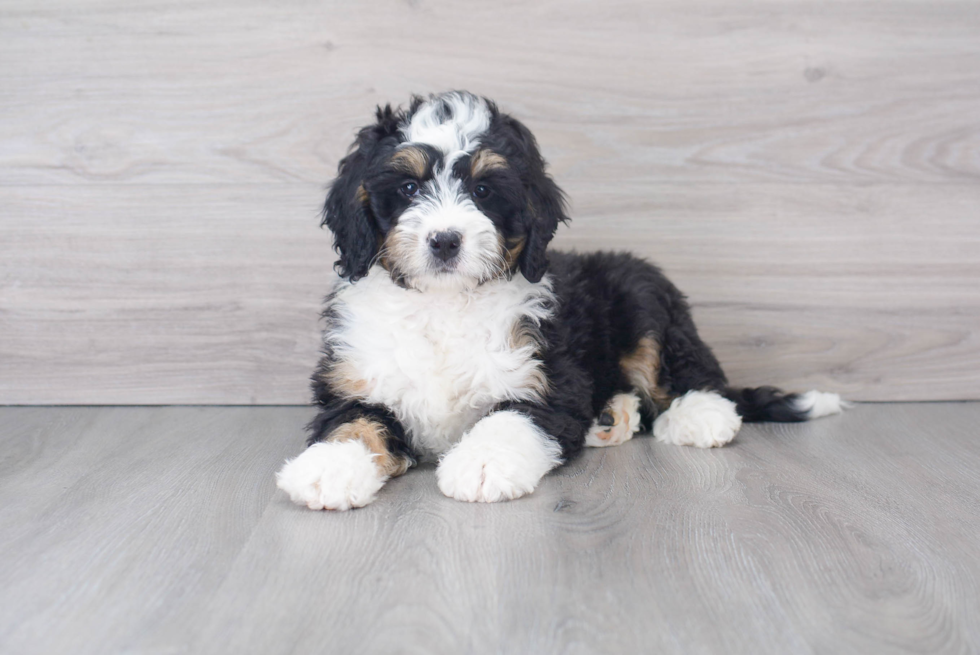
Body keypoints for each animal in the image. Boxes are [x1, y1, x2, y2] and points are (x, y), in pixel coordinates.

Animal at [276, 91, 844, 512]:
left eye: (483, 191)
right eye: (410, 187)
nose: (445, 241)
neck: (444, 304)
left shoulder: (546, 377)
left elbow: (510, 418)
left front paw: (482, 464)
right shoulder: (356, 381)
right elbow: (352, 424)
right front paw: (327, 469)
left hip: (642, 290)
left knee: (685, 369)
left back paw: (699, 414)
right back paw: (613, 417)